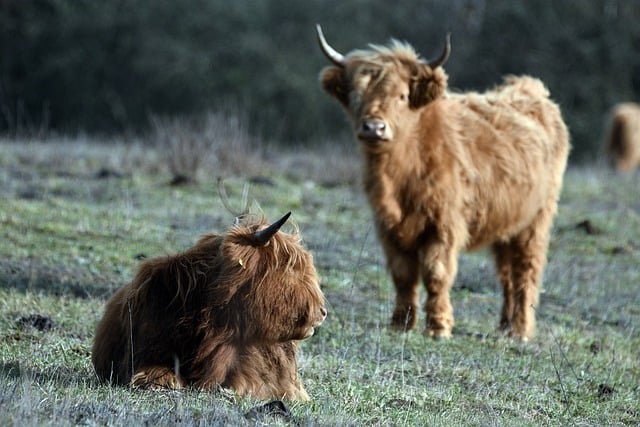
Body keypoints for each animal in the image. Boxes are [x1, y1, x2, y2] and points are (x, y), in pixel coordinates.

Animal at [316, 25, 568, 342]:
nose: (374, 127)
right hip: (507, 221)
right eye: (356, 95)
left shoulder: (444, 225)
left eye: (401, 96)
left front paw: (438, 327)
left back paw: (521, 330)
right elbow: (402, 274)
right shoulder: (388, 227)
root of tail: (530, 89)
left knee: (526, 271)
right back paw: (505, 326)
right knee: (506, 273)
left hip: (536, 220)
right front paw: (401, 323)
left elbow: (436, 273)